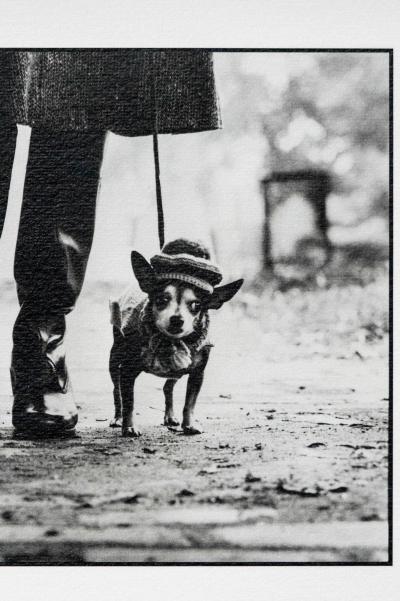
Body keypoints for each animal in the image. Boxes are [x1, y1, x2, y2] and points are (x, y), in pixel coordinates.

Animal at [108, 238, 242, 436]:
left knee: (167, 387)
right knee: (116, 389)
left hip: (176, 372)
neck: (169, 342)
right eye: (161, 300)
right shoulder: (127, 371)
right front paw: (129, 427)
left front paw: (189, 424)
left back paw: (170, 416)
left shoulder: (197, 374)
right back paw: (117, 418)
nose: (177, 319)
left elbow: (190, 403)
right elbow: (129, 402)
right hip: (114, 358)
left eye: (196, 305)